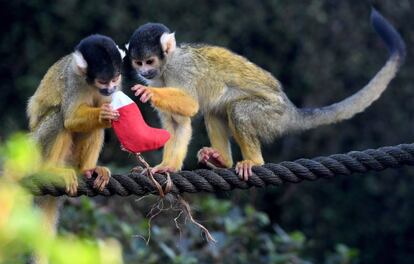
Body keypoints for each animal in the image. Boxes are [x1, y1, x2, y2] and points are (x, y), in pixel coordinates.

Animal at [25, 34, 122, 262]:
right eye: (103, 81)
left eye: (115, 80)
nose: (110, 89)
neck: (89, 83)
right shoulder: (73, 81)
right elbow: (69, 118)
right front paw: (103, 114)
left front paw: (109, 114)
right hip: (35, 148)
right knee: (60, 117)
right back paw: (50, 170)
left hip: (71, 159)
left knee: (94, 128)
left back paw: (89, 169)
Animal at [125, 9, 404, 180]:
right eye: (139, 63)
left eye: (150, 61)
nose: (145, 73)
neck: (166, 67)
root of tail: (291, 110)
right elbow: (178, 124)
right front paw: (167, 167)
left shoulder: (180, 70)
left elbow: (191, 105)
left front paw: (148, 92)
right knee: (215, 111)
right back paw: (222, 161)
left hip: (272, 115)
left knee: (237, 110)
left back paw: (255, 162)